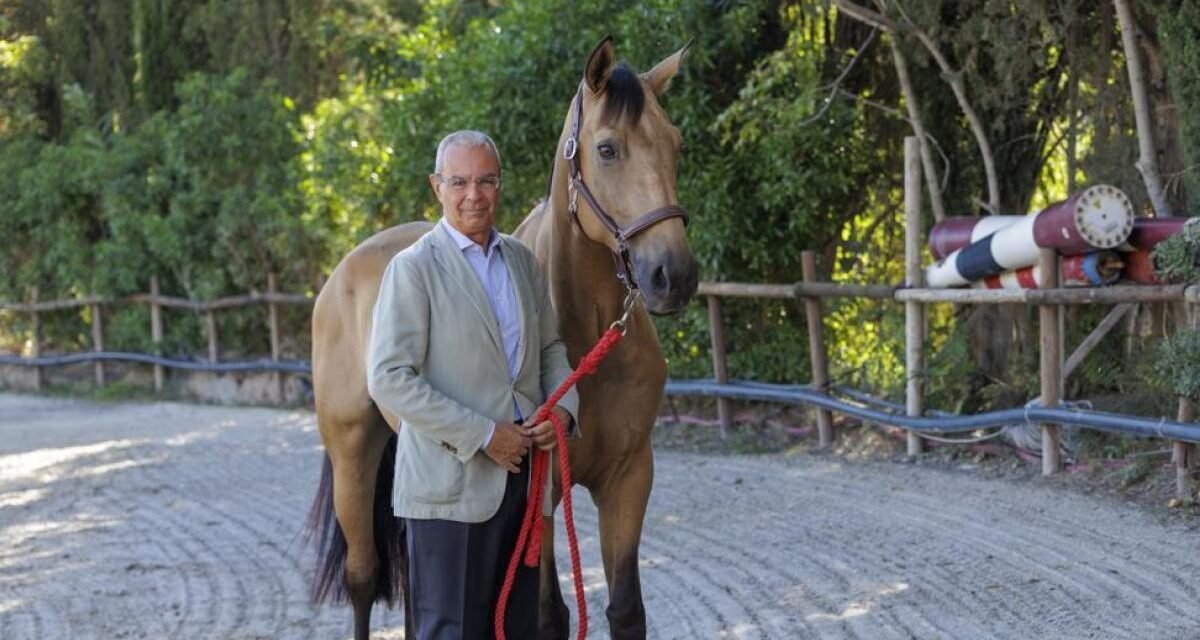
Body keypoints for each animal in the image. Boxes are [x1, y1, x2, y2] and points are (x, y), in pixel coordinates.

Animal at [307, 36, 698, 640]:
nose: (672, 276)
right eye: (607, 149)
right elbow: (548, 617)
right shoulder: (543, 495)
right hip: (352, 451)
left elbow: (626, 611)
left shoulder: (630, 478)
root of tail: (344, 271)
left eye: (675, 144)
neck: (588, 340)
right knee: (363, 578)